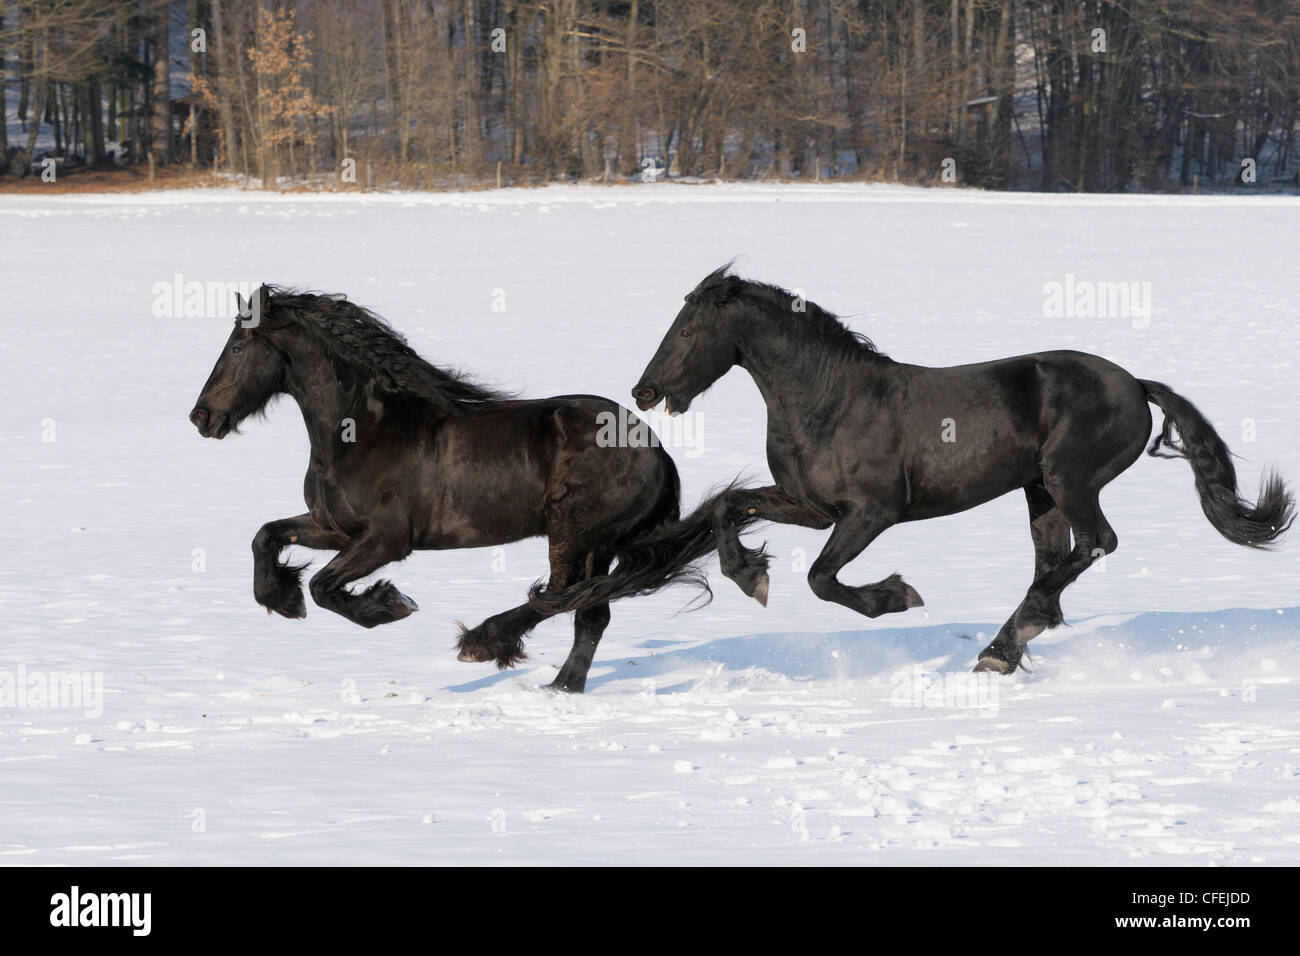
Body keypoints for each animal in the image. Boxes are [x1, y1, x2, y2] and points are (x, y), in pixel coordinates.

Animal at [188, 285, 755, 693]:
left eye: (236, 346)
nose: (202, 417)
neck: (361, 430)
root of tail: (654, 446)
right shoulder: (333, 529)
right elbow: (266, 536)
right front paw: (282, 600)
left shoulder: (386, 540)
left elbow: (326, 588)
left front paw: (390, 604)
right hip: (598, 543)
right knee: (591, 609)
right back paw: (560, 687)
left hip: (574, 534)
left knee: (561, 595)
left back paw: (484, 642)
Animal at [624, 266, 1294, 674]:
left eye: (687, 331)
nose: (644, 391)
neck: (830, 400)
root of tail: (1133, 384)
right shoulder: (812, 508)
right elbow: (730, 507)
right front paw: (748, 574)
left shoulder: (872, 513)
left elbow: (820, 579)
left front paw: (895, 597)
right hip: (1038, 490)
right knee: (1055, 559)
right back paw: (1013, 641)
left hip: (1070, 480)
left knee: (1095, 544)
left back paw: (1007, 640)